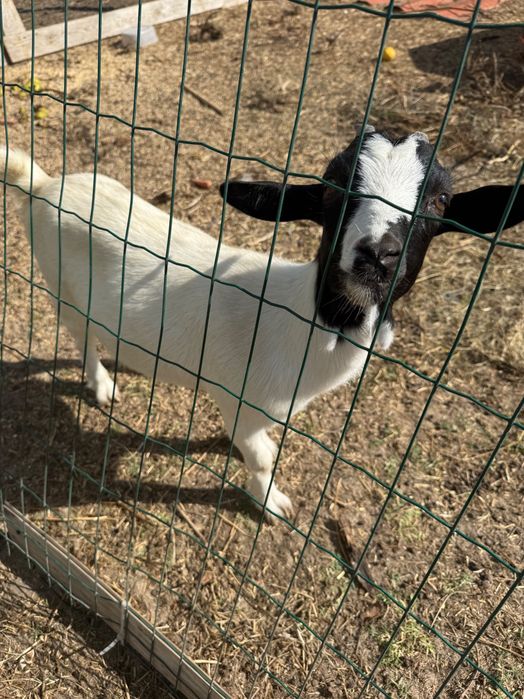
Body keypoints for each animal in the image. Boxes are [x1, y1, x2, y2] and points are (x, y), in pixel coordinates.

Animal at [1, 128, 522, 520]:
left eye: (441, 200)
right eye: (331, 188)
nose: (377, 255)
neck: (300, 327)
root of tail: (44, 185)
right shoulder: (239, 399)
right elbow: (260, 457)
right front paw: (271, 502)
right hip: (60, 285)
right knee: (82, 337)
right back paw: (102, 385)